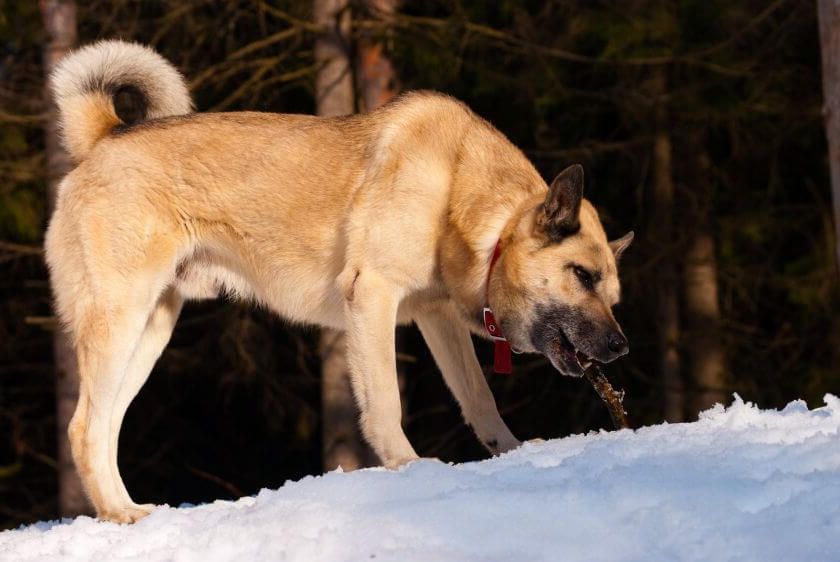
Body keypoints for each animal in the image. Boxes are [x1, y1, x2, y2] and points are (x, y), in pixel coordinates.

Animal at [41, 39, 632, 520]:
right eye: (582, 275)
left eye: (613, 294)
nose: (620, 348)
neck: (464, 200)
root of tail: (102, 138)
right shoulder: (372, 296)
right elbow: (387, 403)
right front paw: (409, 466)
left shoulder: (436, 316)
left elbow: (480, 399)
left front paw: (512, 451)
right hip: (120, 318)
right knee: (82, 427)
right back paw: (120, 514)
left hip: (152, 327)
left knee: (103, 427)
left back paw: (124, 508)